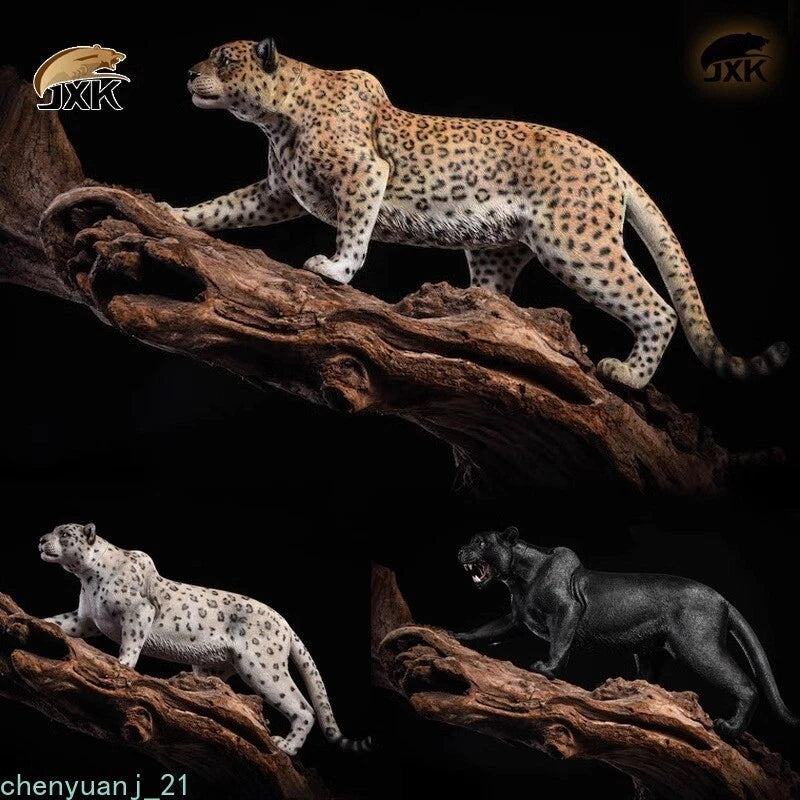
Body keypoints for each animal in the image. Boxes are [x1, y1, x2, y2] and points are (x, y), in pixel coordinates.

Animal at [39, 522, 371, 756]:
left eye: (64, 533)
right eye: (54, 529)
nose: (41, 540)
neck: (87, 580)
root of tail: (285, 624)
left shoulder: (138, 612)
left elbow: (131, 642)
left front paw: (123, 666)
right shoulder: (84, 618)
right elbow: (60, 622)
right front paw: (34, 622)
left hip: (263, 668)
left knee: (302, 706)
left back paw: (286, 746)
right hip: (214, 667)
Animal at [161, 36, 788, 390]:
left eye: (223, 58)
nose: (188, 74)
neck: (275, 118)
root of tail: (612, 162)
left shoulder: (365, 173)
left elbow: (355, 228)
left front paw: (336, 270)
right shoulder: (278, 193)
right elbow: (225, 207)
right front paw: (176, 214)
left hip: (577, 245)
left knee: (658, 306)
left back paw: (628, 376)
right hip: (497, 250)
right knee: (498, 301)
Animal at [452, 526, 799, 740]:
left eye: (481, 542)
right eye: (470, 540)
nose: (460, 550)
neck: (518, 577)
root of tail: (722, 598)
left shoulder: (567, 609)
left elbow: (560, 642)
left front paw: (548, 670)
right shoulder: (515, 619)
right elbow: (486, 630)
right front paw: (459, 637)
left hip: (699, 646)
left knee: (746, 684)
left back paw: (731, 728)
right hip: (649, 652)